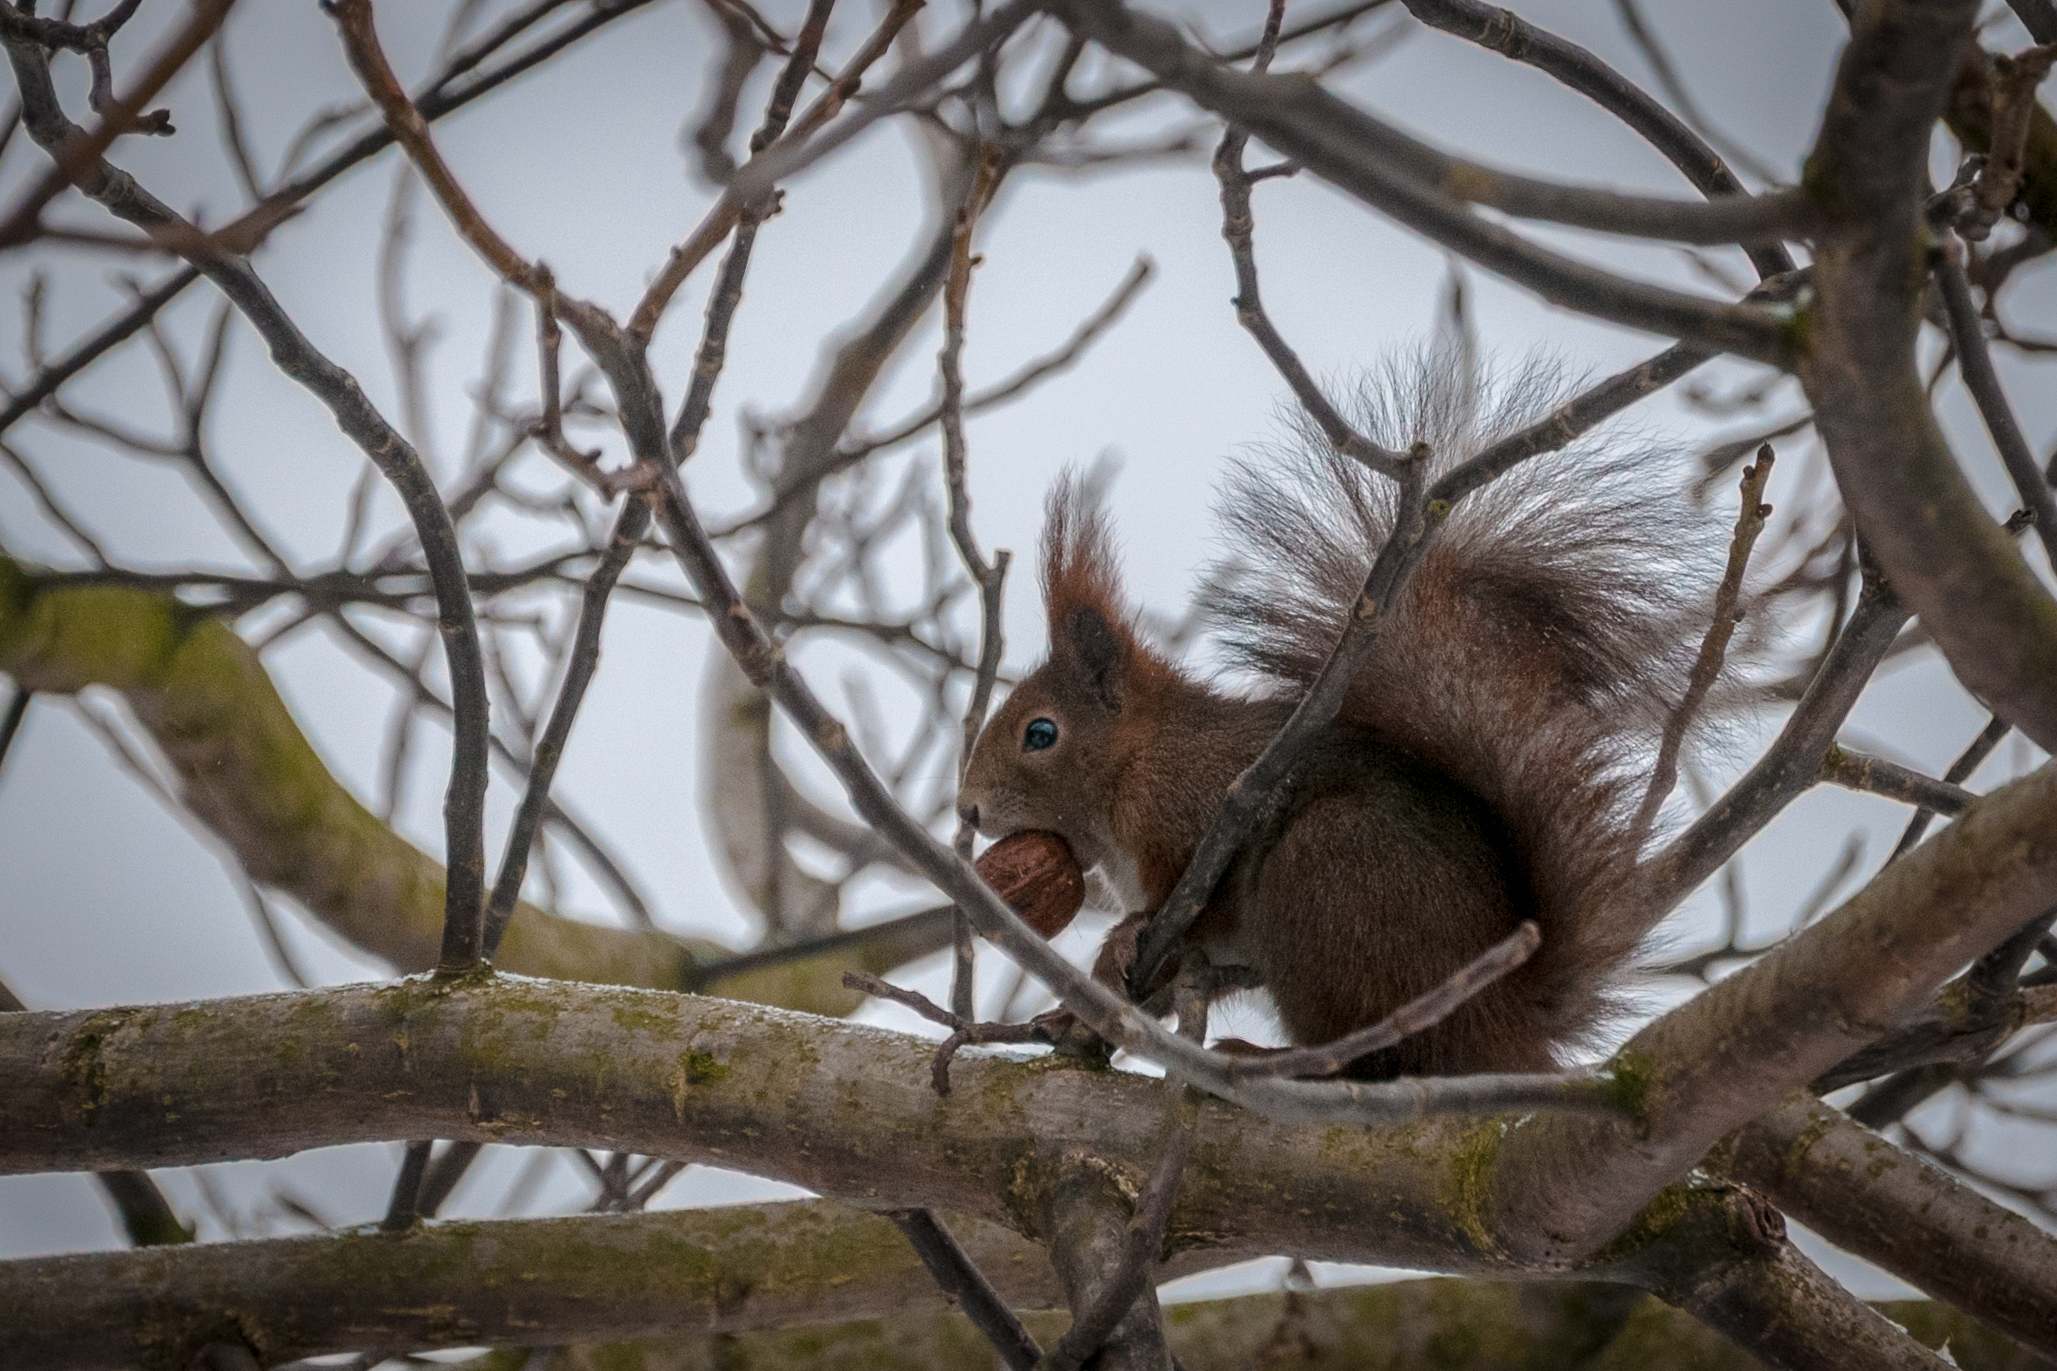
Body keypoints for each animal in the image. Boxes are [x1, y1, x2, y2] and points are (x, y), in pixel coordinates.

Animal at [958, 357, 1719, 1085]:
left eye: (1040, 733)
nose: (967, 808)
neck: (1137, 761)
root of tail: (1501, 1023)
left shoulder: (1196, 806)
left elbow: (1200, 907)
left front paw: (1124, 935)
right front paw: (1074, 1007)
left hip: (1329, 880)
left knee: (1368, 1062)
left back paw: (1268, 1060)